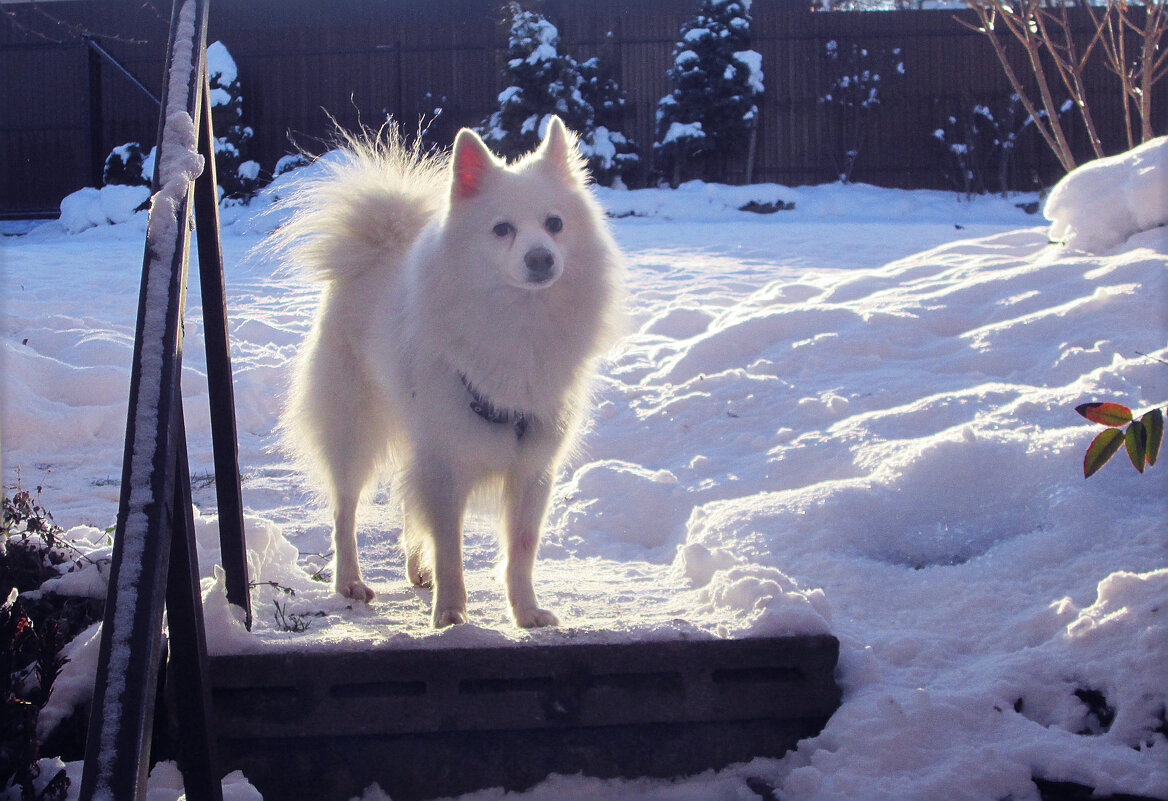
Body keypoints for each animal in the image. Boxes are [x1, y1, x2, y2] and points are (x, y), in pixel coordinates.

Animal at [274, 119, 626, 630]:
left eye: (555, 224)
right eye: (502, 230)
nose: (541, 258)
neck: (520, 321)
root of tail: (379, 247)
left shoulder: (532, 468)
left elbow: (521, 549)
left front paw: (526, 612)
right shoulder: (445, 463)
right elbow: (449, 547)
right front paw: (451, 613)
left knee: (403, 499)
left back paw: (415, 571)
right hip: (353, 431)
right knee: (345, 510)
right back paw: (350, 582)